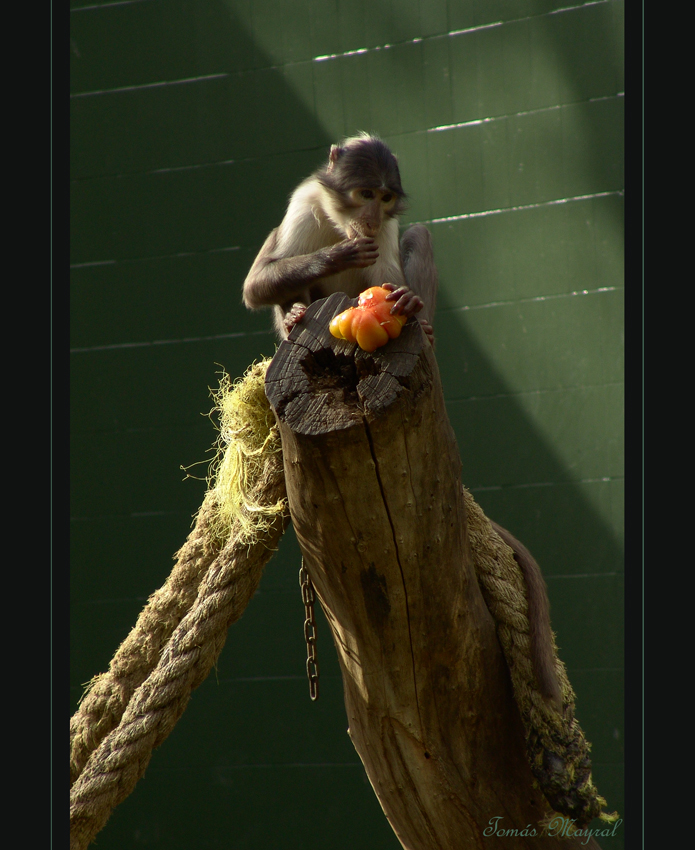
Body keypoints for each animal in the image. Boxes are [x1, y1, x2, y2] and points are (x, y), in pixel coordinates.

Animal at [242, 132, 438, 342]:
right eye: (366, 194)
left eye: (386, 198)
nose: (373, 223)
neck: (339, 225)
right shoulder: (304, 202)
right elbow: (254, 285)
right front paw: (338, 255)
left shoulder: (386, 225)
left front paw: (407, 298)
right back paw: (291, 318)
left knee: (418, 233)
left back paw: (426, 329)